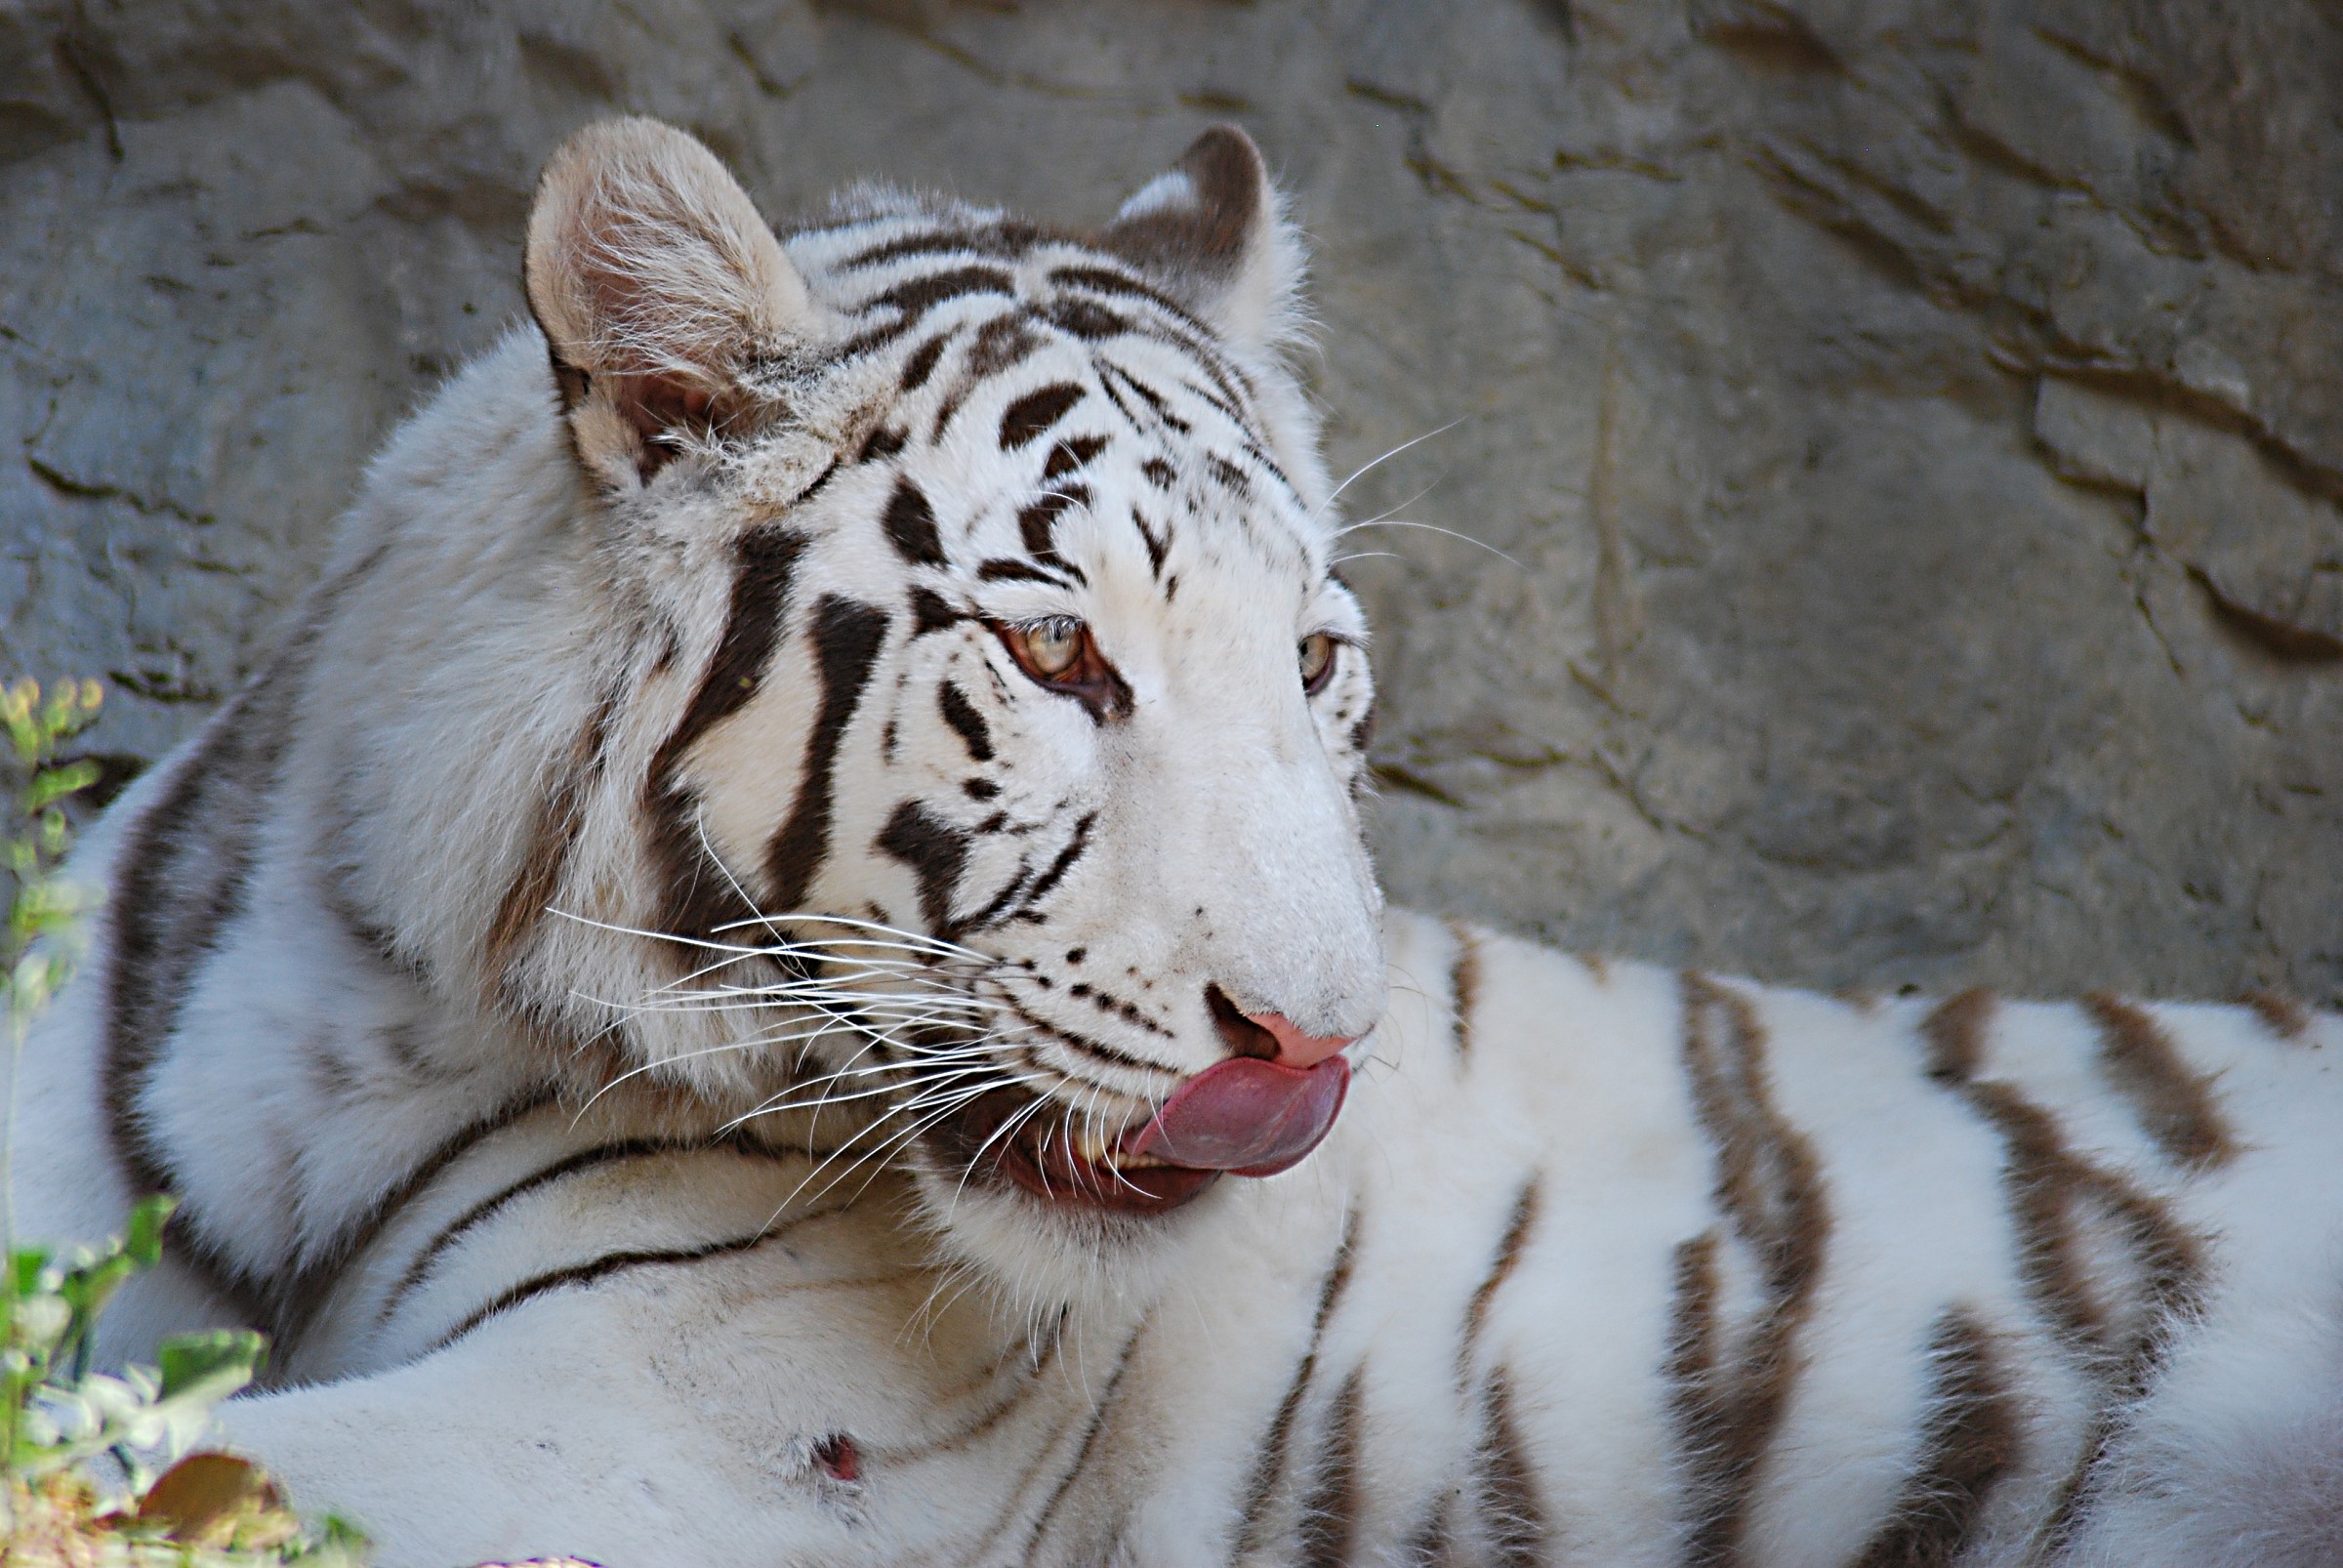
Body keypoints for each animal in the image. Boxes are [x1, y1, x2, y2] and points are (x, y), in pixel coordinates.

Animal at [11, 114, 2343, 1568]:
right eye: (1056, 644)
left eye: (1313, 660)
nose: (1316, 1045)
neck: (363, 991)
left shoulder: (692, 1438)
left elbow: (201, 1467)